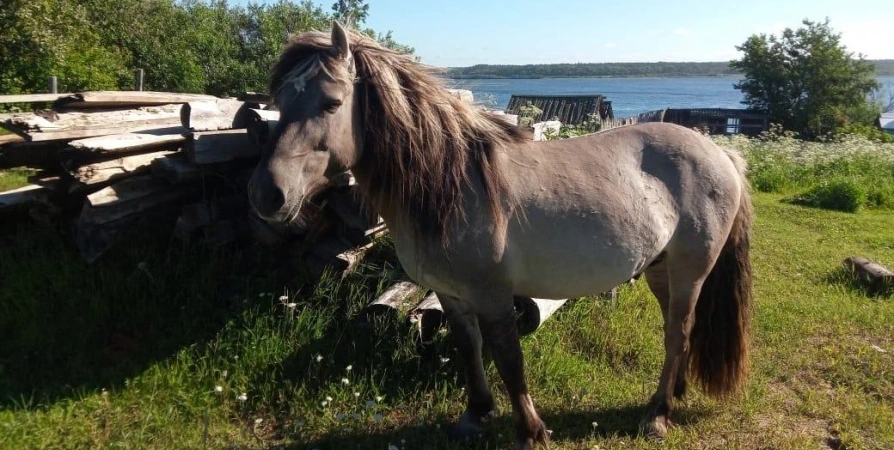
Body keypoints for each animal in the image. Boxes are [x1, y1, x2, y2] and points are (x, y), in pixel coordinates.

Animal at [250, 22, 756, 450]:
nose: (268, 195)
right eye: (280, 100)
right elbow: (469, 349)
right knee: (678, 330)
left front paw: (530, 431)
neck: (450, 184)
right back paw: (674, 394)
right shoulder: (451, 294)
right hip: (659, 269)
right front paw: (475, 415)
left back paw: (657, 415)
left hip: (691, 270)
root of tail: (721, 153)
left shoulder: (492, 294)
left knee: (678, 332)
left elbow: (509, 358)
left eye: (331, 103)